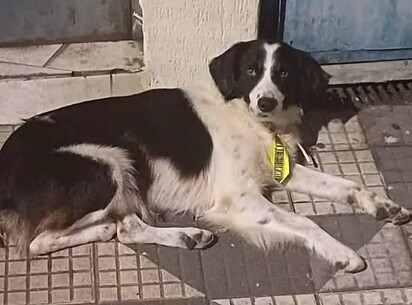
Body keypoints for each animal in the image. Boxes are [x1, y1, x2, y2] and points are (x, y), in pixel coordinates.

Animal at [0, 40, 408, 274]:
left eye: (284, 73)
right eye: (250, 71)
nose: (266, 102)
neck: (253, 120)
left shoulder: (281, 171)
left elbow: (349, 185)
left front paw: (384, 205)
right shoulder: (238, 200)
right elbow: (304, 222)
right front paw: (341, 252)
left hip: (121, 174)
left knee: (126, 226)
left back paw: (186, 236)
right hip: (107, 163)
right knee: (38, 242)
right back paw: (105, 230)